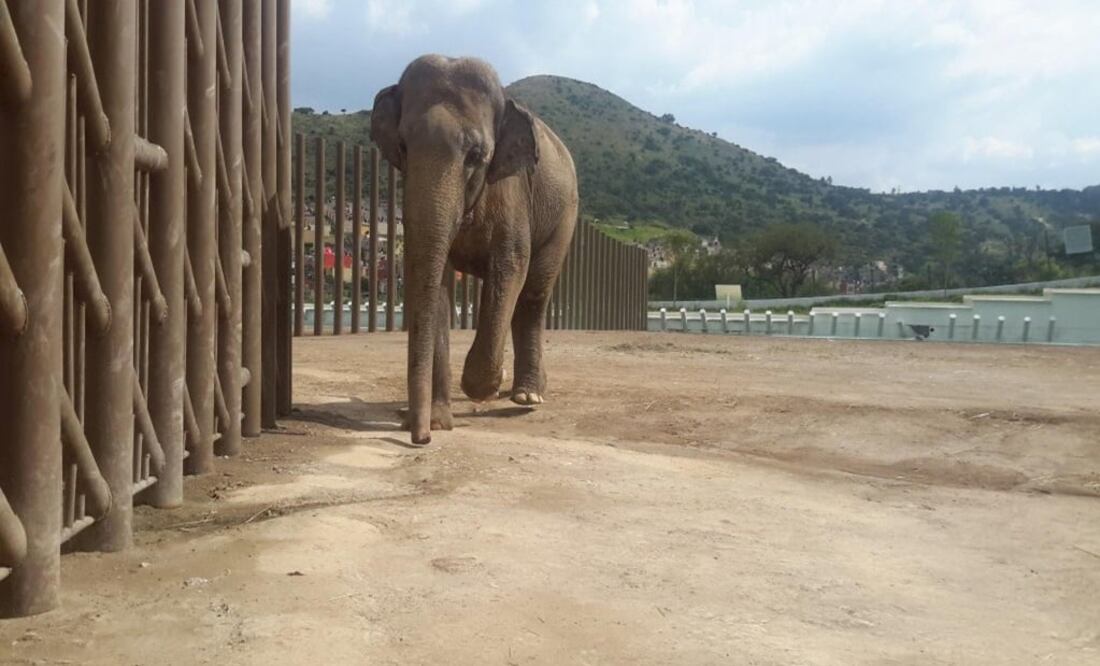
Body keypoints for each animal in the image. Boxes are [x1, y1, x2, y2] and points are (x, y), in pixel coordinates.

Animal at [370, 55, 578, 445]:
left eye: (476, 155)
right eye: (403, 146)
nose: (420, 438)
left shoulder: (512, 191)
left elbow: (511, 265)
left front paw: (482, 387)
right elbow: (434, 283)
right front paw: (439, 420)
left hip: (564, 217)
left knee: (532, 294)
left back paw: (527, 395)